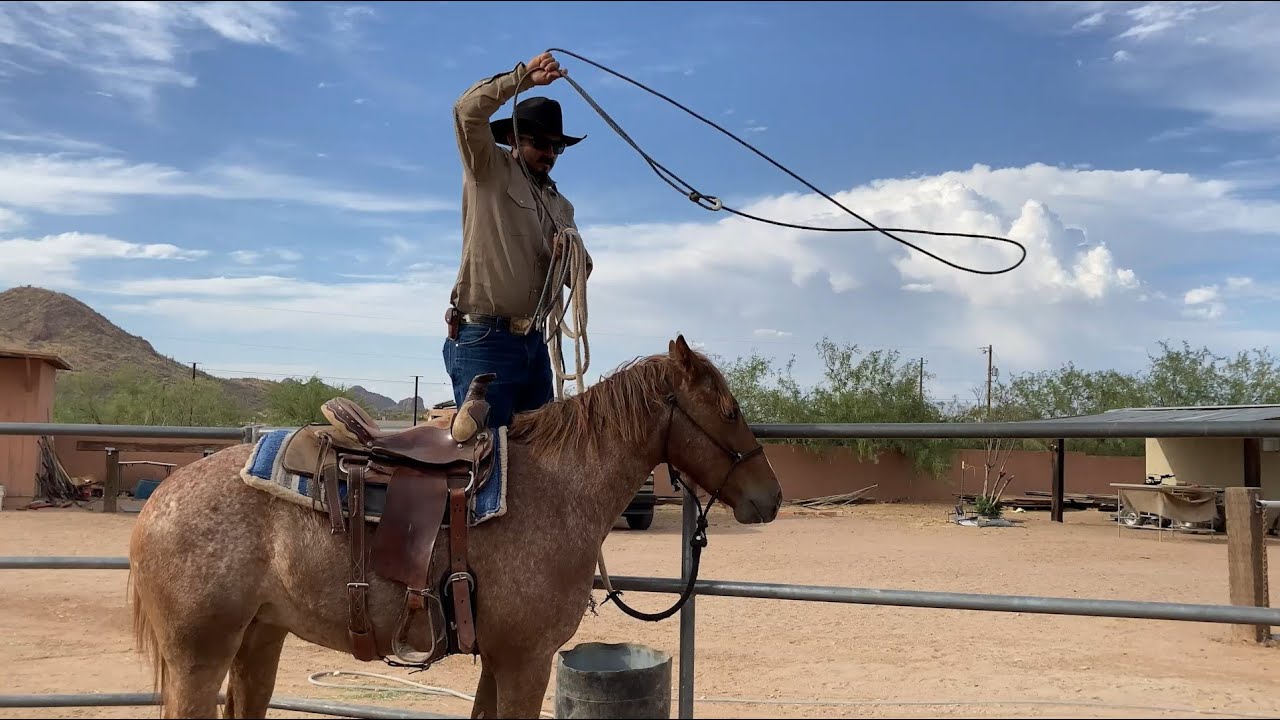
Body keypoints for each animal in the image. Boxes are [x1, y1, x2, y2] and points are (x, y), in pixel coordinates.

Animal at [127, 335, 784, 718]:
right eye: (730, 411)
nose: (771, 497)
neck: (561, 487)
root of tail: (159, 501)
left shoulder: (499, 659)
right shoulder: (526, 660)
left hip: (260, 637)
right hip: (199, 656)